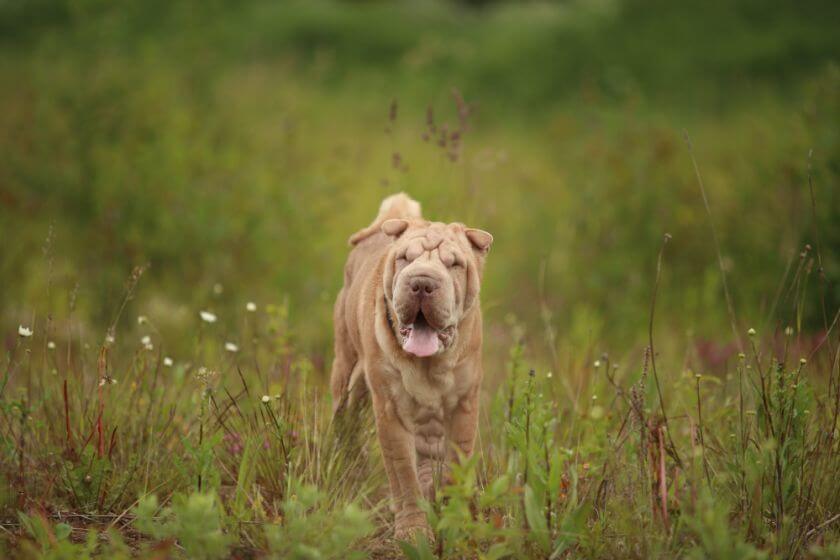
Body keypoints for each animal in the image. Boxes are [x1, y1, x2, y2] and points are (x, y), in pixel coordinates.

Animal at [330, 191, 492, 540]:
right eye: (405, 258)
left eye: (453, 263)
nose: (421, 283)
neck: (430, 364)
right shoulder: (390, 410)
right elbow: (403, 473)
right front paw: (413, 530)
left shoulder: (464, 404)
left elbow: (456, 465)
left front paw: (453, 518)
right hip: (347, 373)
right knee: (344, 421)